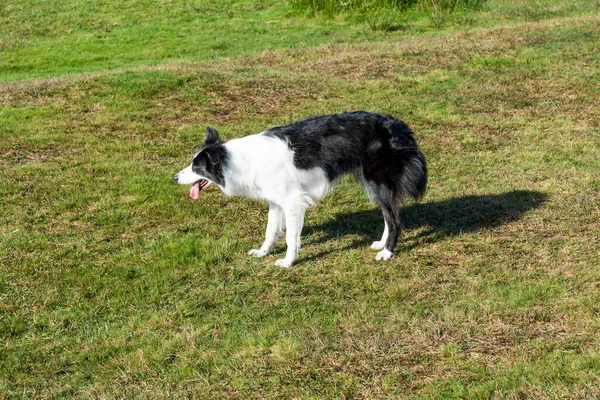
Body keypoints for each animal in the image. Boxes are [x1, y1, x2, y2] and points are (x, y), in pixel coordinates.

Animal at [173, 111, 426, 268]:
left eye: (196, 167)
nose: (174, 177)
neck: (234, 161)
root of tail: (396, 123)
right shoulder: (276, 202)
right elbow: (270, 232)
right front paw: (262, 252)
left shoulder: (292, 201)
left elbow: (289, 237)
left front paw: (288, 262)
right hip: (372, 184)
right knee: (388, 216)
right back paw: (382, 244)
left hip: (379, 182)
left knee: (395, 220)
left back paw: (387, 252)